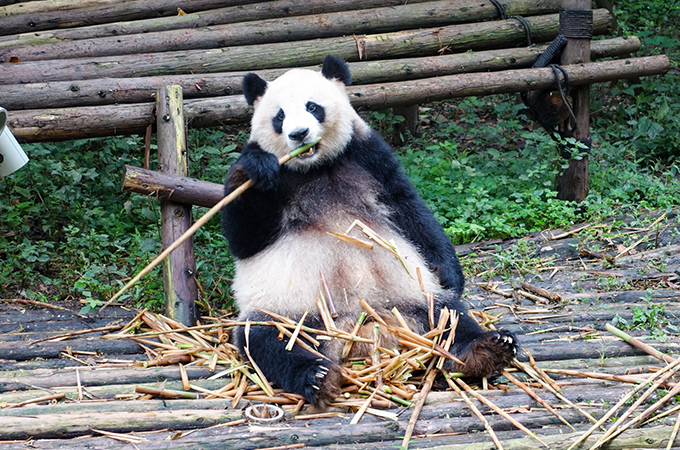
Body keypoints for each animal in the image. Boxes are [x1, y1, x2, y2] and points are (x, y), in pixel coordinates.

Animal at [222, 54, 516, 410]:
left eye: (312, 106)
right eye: (279, 116)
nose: (299, 134)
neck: (314, 167)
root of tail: (363, 332)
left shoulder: (366, 154)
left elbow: (408, 207)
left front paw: (449, 273)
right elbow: (246, 238)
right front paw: (253, 170)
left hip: (410, 301)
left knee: (448, 316)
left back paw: (486, 349)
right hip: (294, 314)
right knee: (268, 339)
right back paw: (316, 376)